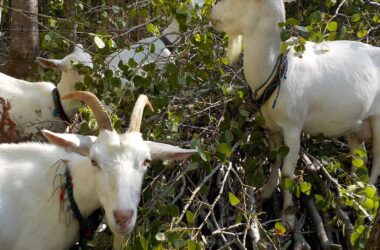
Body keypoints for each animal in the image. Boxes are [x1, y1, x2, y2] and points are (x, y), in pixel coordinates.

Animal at [211, 0, 380, 228]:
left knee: (377, 163)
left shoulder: (292, 127)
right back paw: (353, 195)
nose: (212, 13)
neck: (276, 70)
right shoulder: (273, 126)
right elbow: (273, 159)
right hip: (357, 126)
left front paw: (288, 218)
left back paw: (364, 201)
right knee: (359, 159)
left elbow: (288, 173)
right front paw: (265, 192)